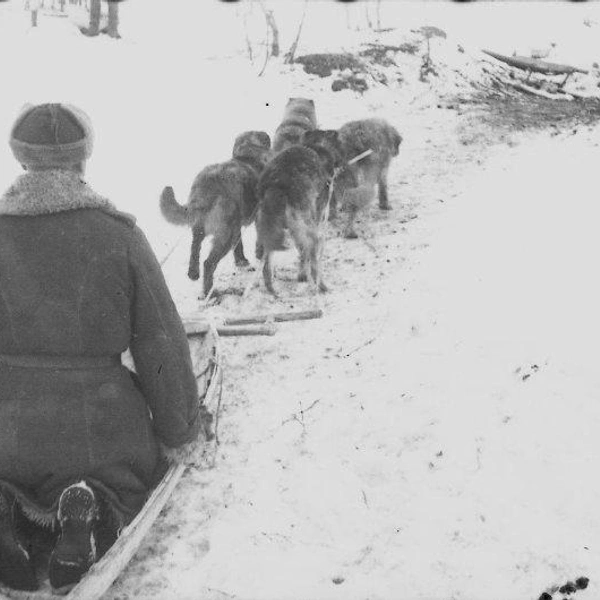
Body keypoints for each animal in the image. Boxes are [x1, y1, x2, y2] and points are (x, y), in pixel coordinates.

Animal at [159, 133, 272, 298]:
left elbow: (239, 246)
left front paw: (242, 262)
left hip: (204, 226)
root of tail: (208, 185)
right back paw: (209, 293)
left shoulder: (237, 225)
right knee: (208, 263)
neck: (247, 155)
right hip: (226, 234)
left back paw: (193, 273)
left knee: (195, 246)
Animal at [255, 129, 344, 296]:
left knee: (266, 266)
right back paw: (322, 287)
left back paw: (272, 290)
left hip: (267, 232)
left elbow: (302, 253)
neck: (316, 147)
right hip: (311, 231)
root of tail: (277, 184)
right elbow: (309, 256)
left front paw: (301, 275)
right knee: (315, 265)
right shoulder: (319, 219)